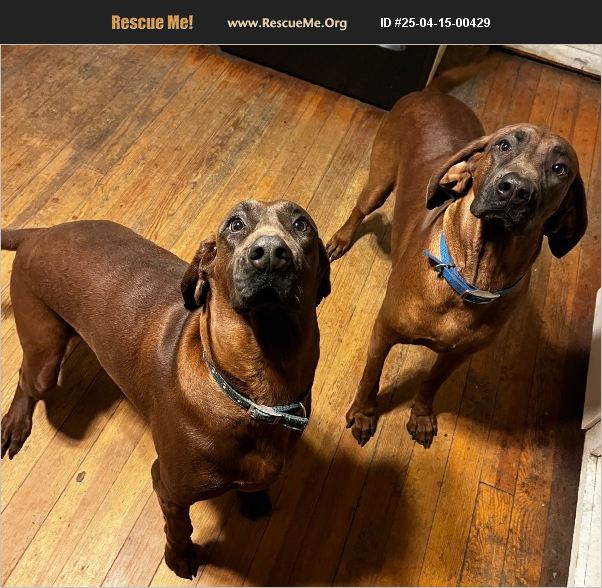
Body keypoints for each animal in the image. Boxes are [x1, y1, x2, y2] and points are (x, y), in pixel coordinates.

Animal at [1, 200, 331, 578]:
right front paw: (180, 556)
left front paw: (252, 499)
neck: (256, 396)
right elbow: (180, 527)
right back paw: (15, 422)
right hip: (44, 356)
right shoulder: (169, 488)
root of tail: (39, 233)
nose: (272, 255)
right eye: (235, 224)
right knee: (26, 377)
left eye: (301, 224)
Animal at [326, 89, 587, 448]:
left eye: (560, 168)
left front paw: (421, 416)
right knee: (361, 208)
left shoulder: (456, 355)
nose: (516, 190)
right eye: (503, 146)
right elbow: (371, 377)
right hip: (379, 180)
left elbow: (431, 383)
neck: (475, 274)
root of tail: (430, 91)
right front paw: (364, 413)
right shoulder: (383, 333)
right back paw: (341, 239)